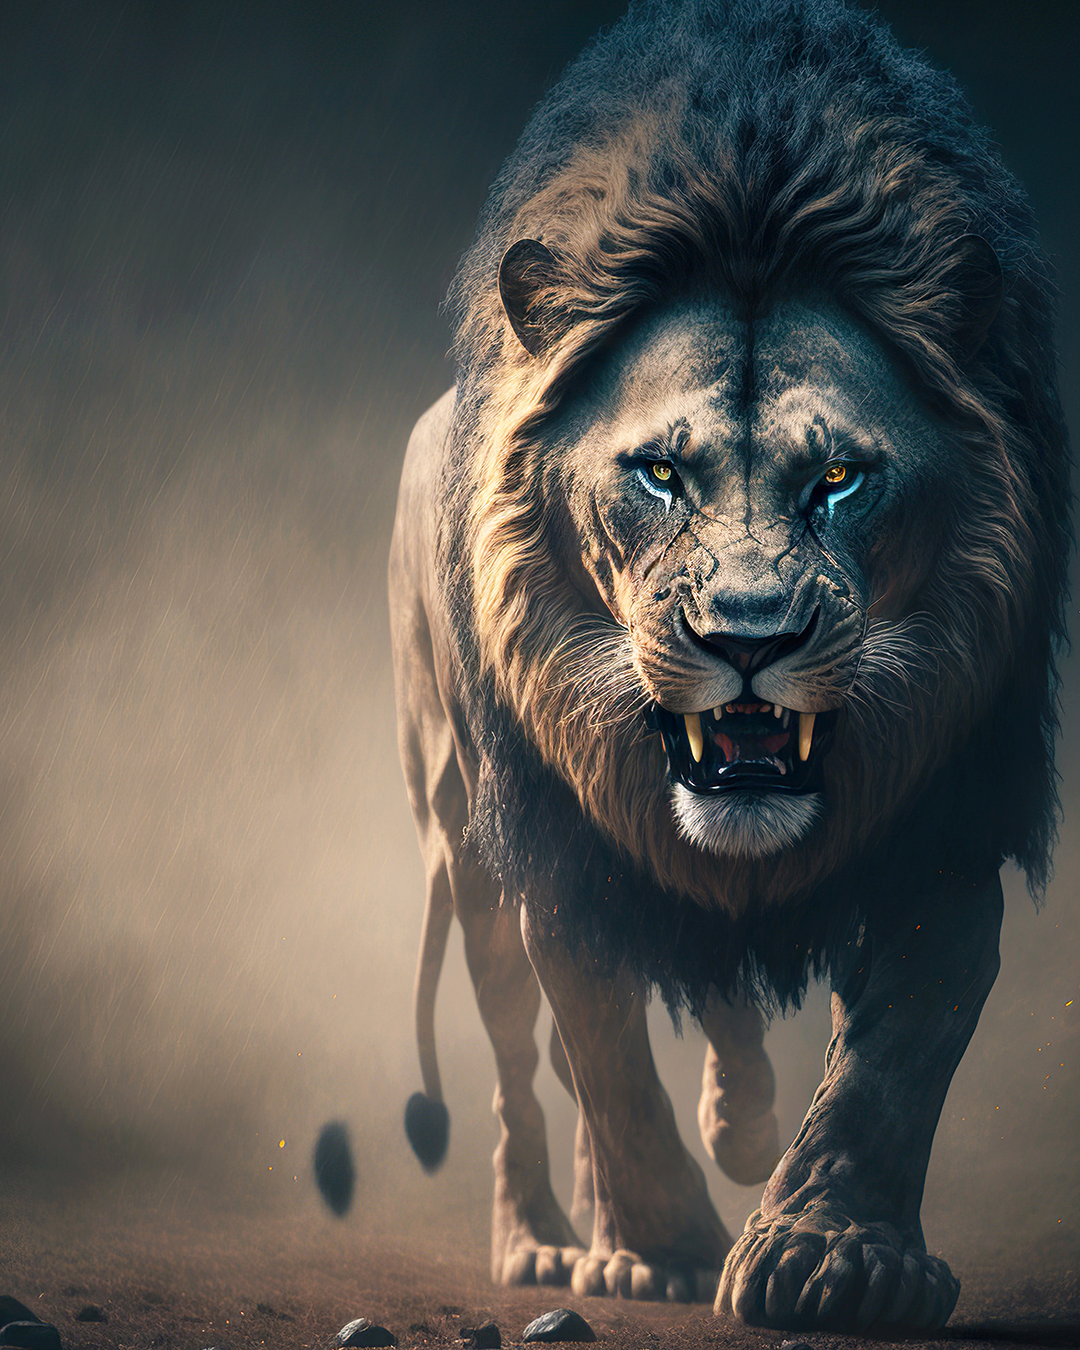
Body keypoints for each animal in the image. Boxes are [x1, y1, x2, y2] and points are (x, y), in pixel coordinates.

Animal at [389, 0, 1069, 1335]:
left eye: (841, 479)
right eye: (659, 473)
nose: (749, 639)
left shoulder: (952, 807)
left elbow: (898, 1049)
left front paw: (834, 1257)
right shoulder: (558, 838)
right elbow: (602, 1047)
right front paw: (660, 1252)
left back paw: (738, 1132)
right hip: (463, 841)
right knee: (521, 1063)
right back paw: (549, 1239)